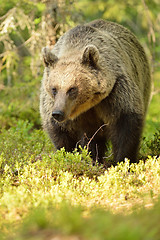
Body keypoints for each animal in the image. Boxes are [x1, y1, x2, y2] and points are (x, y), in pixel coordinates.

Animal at [40, 19, 151, 164]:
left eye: (72, 89)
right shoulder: (52, 106)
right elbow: (62, 135)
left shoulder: (116, 93)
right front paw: (69, 155)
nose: (58, 113)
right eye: (54, 89)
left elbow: (125, 125)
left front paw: (123, 160)